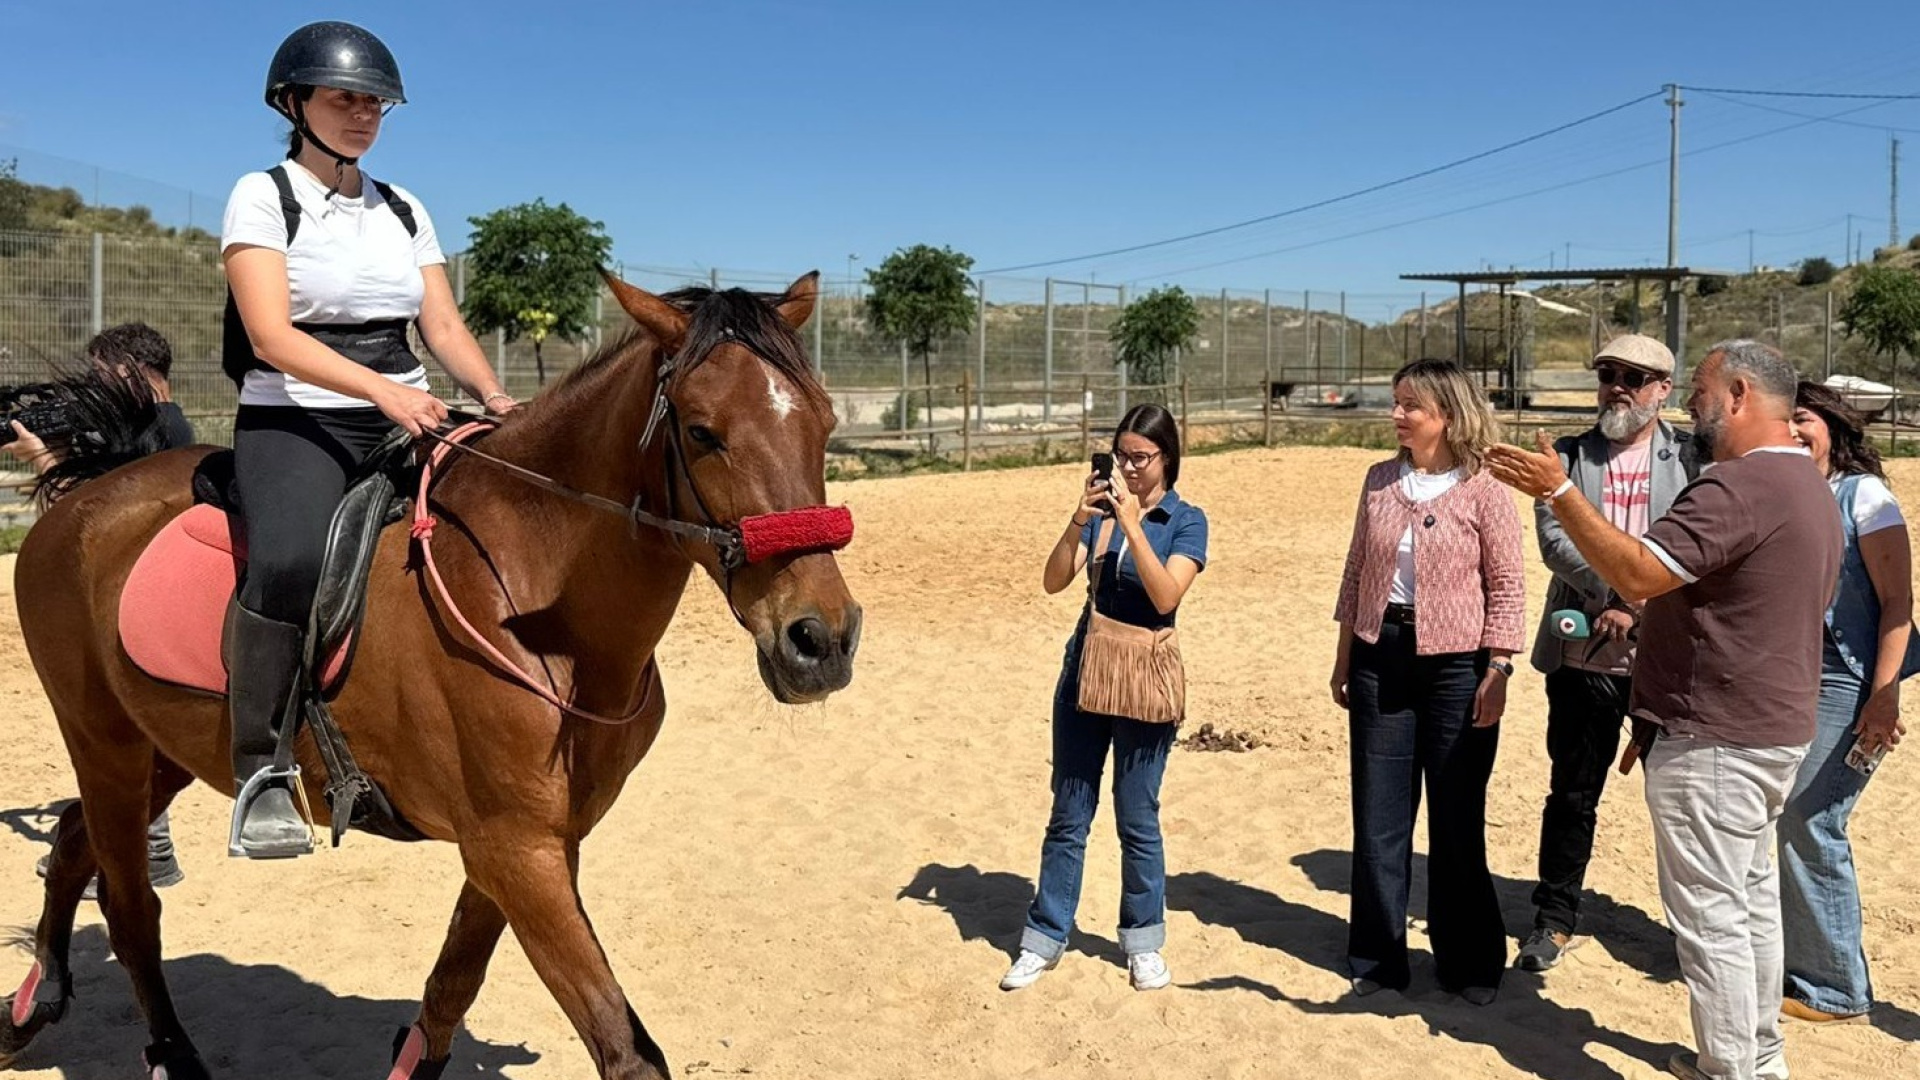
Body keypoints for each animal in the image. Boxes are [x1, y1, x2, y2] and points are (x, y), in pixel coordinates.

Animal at [0, 271, 862, 1080]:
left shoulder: (533, 843)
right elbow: (624, 1048)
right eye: (703, 431)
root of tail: (91, 492)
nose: (820, 639)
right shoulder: (514, 846)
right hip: (104, 740)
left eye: (824, 422)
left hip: (163, 751)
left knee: (74, 844)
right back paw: (166, 1051)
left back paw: (30, 1007)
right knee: (129, 904)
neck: (534, 599)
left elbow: (455, 977)